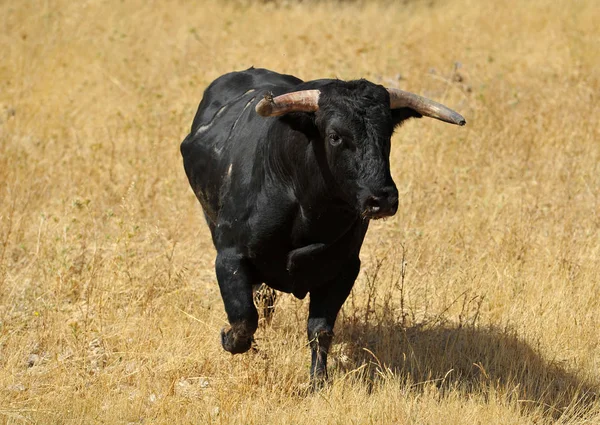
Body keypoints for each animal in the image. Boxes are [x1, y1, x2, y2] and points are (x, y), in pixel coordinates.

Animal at [178, 67, 464, 380]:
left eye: (387, 133)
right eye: (335, 136)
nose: (383, 199)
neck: (303, 204)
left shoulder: (343, 267)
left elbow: (320, 329)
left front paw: (318, 380)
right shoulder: (229, 257)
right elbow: (243, 319)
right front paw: (231, 340)